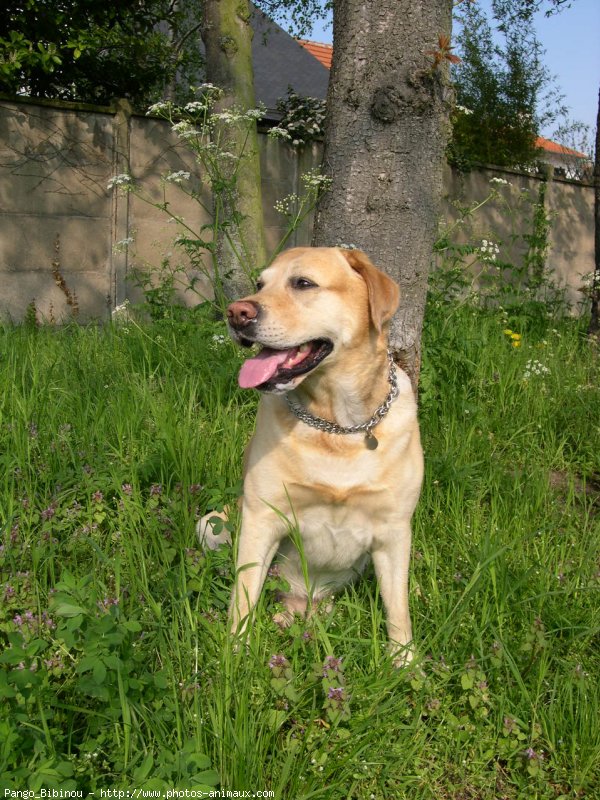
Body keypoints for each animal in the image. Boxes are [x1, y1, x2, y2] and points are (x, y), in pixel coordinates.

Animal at [199, 247, 424, 664]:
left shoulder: (394, 530)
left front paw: (404, 662)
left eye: (303, 283)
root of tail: (307, 603)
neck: (337, 426)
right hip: (211, 523)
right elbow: (243, 595)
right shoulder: (261, 518)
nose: (237, 312)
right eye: (260, 284)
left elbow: (398, 609)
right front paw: (235, 657)